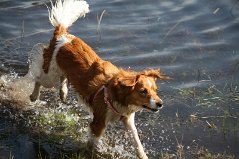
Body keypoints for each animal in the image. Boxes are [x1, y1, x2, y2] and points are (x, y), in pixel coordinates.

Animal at [29, 0, 170, 158]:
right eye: (143, 91)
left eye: (156, 90)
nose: (160, 104)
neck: (118, 94)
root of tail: (63, 35)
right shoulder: (98, 122)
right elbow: (93, 143)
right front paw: (92, 152)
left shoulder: (128, 120)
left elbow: (137, 142)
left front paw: (142, 155)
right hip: (50, 76)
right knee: (39, 80)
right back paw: (34, 96)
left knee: (63, 77)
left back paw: (63, 92)